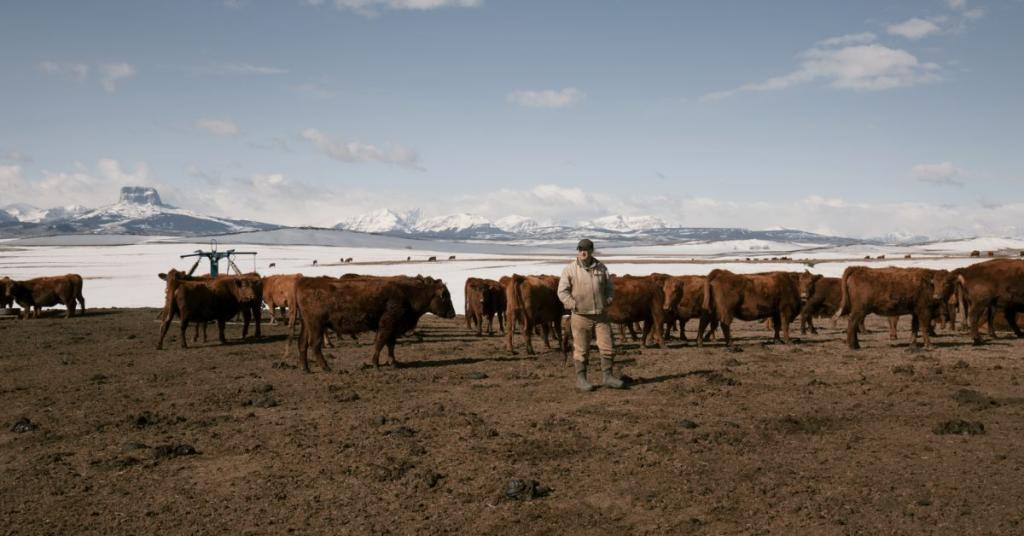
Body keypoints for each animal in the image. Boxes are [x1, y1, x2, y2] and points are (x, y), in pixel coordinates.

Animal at [291, 276, 456, 371]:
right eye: (444, 295)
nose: (452, 313)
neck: (408, 294)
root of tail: (305, 282)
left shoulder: (392, 328)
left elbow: (390, 345)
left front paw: (393, 362)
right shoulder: (387, 325)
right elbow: (380, 343)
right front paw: (376, 363)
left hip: (307, 325)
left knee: (302, 343)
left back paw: (305, 368)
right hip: (316, 324)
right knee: (315, 344)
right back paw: (326, 367)